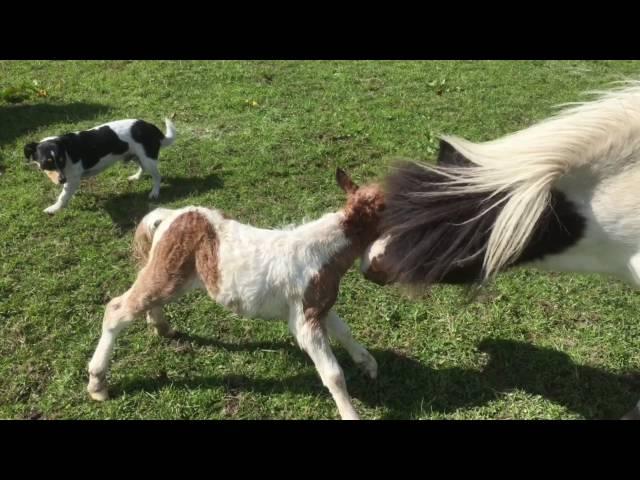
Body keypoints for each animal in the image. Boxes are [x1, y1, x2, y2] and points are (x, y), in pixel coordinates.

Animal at [23, 118, 176, 214]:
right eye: (47, 162)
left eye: (61, 160)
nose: (62, 180)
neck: (66, 151)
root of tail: (150, 126)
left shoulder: (72, 180)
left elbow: (63, 197)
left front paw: (54, 209)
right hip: (136, 156)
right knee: (143, 168)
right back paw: (136, 177)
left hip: (147, 158)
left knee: (157, 176)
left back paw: (154, 192)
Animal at [86, 169, 384, 420]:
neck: (322, 252)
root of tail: (170, 216)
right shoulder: (304, 321)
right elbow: (333, 374)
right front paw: (351, 414)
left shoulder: (319, 306)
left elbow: (344, 331)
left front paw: (368, 364)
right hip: (168, 274)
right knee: (116, 309)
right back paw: (97, 383)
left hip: (168, 277)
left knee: (147, 298)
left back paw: (161, 327)